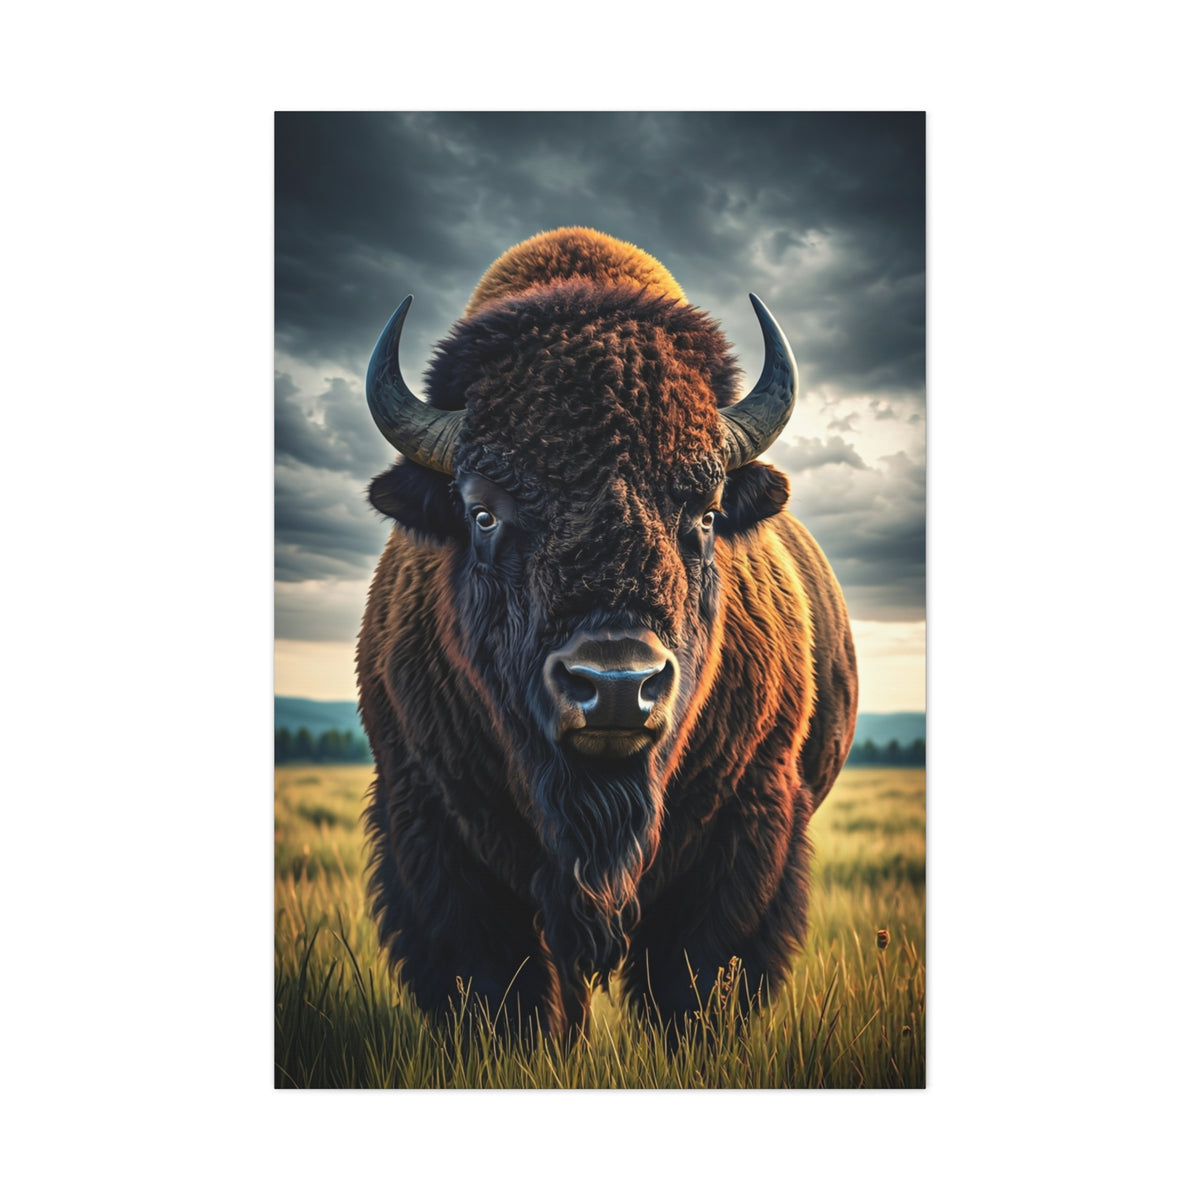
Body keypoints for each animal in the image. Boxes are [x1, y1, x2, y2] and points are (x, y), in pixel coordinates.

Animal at [357, 228, 857, 1037]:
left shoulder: (750, 817)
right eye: (482, 513)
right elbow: (501, 988)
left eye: (707, 514)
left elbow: (694, 982)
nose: (618, 686)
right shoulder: (428, 819)